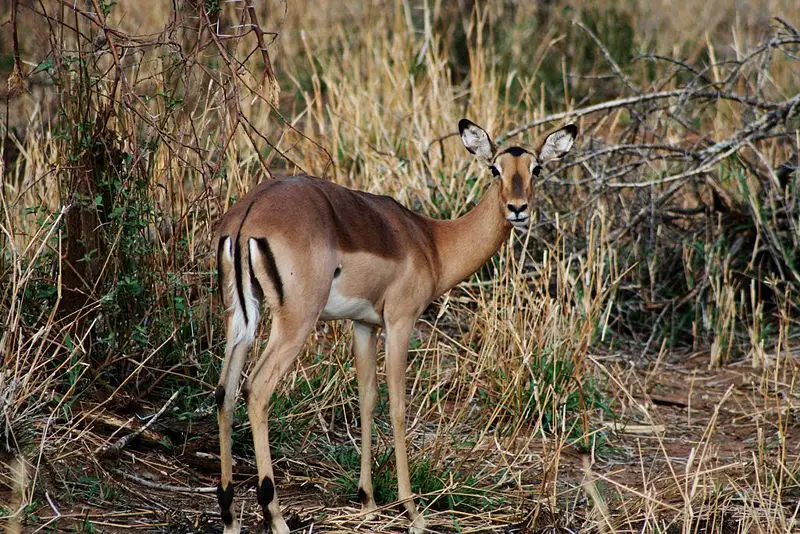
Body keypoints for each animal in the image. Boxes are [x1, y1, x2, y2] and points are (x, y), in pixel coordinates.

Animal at [214, 119, 578, 533]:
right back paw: (276, 517)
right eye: (494, 169)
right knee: (256, 389)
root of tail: (249, 215)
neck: (431, 242)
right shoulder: (401, 321)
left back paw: (229, 514)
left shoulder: (364, 325)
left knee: (225, 391)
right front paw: (412, 511)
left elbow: (368, 399)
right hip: (295, 321)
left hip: (240, 317)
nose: (518, 209)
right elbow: (399, 406)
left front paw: (368, 503)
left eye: (537, 169)